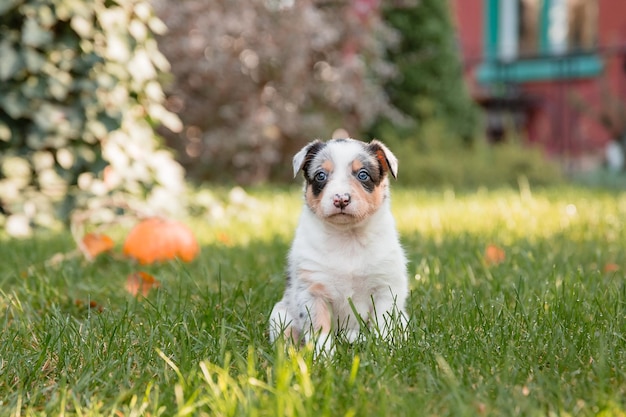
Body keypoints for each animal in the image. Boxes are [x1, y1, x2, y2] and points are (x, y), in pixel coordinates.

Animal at [270, 138, 410, 352]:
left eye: (363, 174)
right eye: (320, 175)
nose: (341, 199)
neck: (347, 238)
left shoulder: (386, 287)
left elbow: (383, 324)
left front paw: (384, 349)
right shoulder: (312, 291)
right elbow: (319, 328)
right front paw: (324, 355)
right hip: (279, 314)